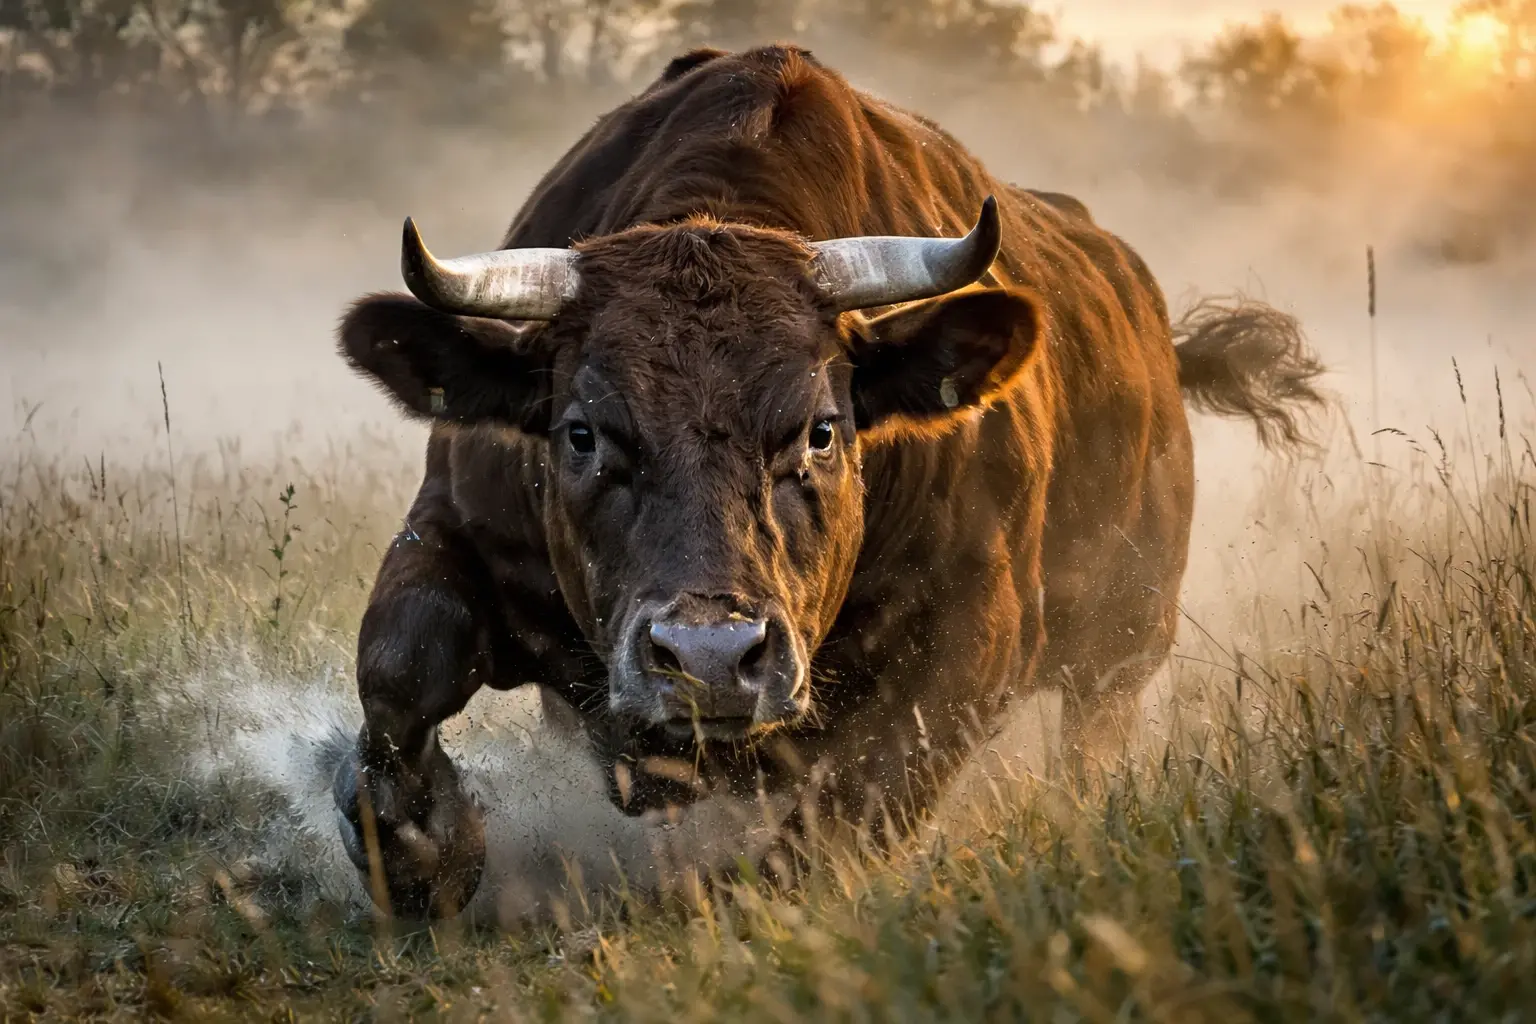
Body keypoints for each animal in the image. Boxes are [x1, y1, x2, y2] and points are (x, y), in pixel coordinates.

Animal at [329, 44, 1326, 919]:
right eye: (581, 435)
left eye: (820, 431)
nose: (709, 660)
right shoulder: (452, 529)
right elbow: (401, 667)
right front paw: (424, 855)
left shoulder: (974, 640)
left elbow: (847, 813)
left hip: (1121, 649)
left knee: (1088, 745)